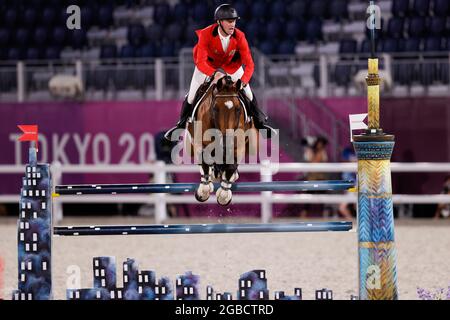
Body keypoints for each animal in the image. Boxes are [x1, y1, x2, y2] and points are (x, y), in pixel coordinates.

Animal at [185, 74, 256, 205]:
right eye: (215, 108)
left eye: (238, 109)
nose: (226, 141)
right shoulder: (199, 143)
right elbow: (204, 160)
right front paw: (203, 192)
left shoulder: (238, 146)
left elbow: (232, 165)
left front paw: (224, 195)